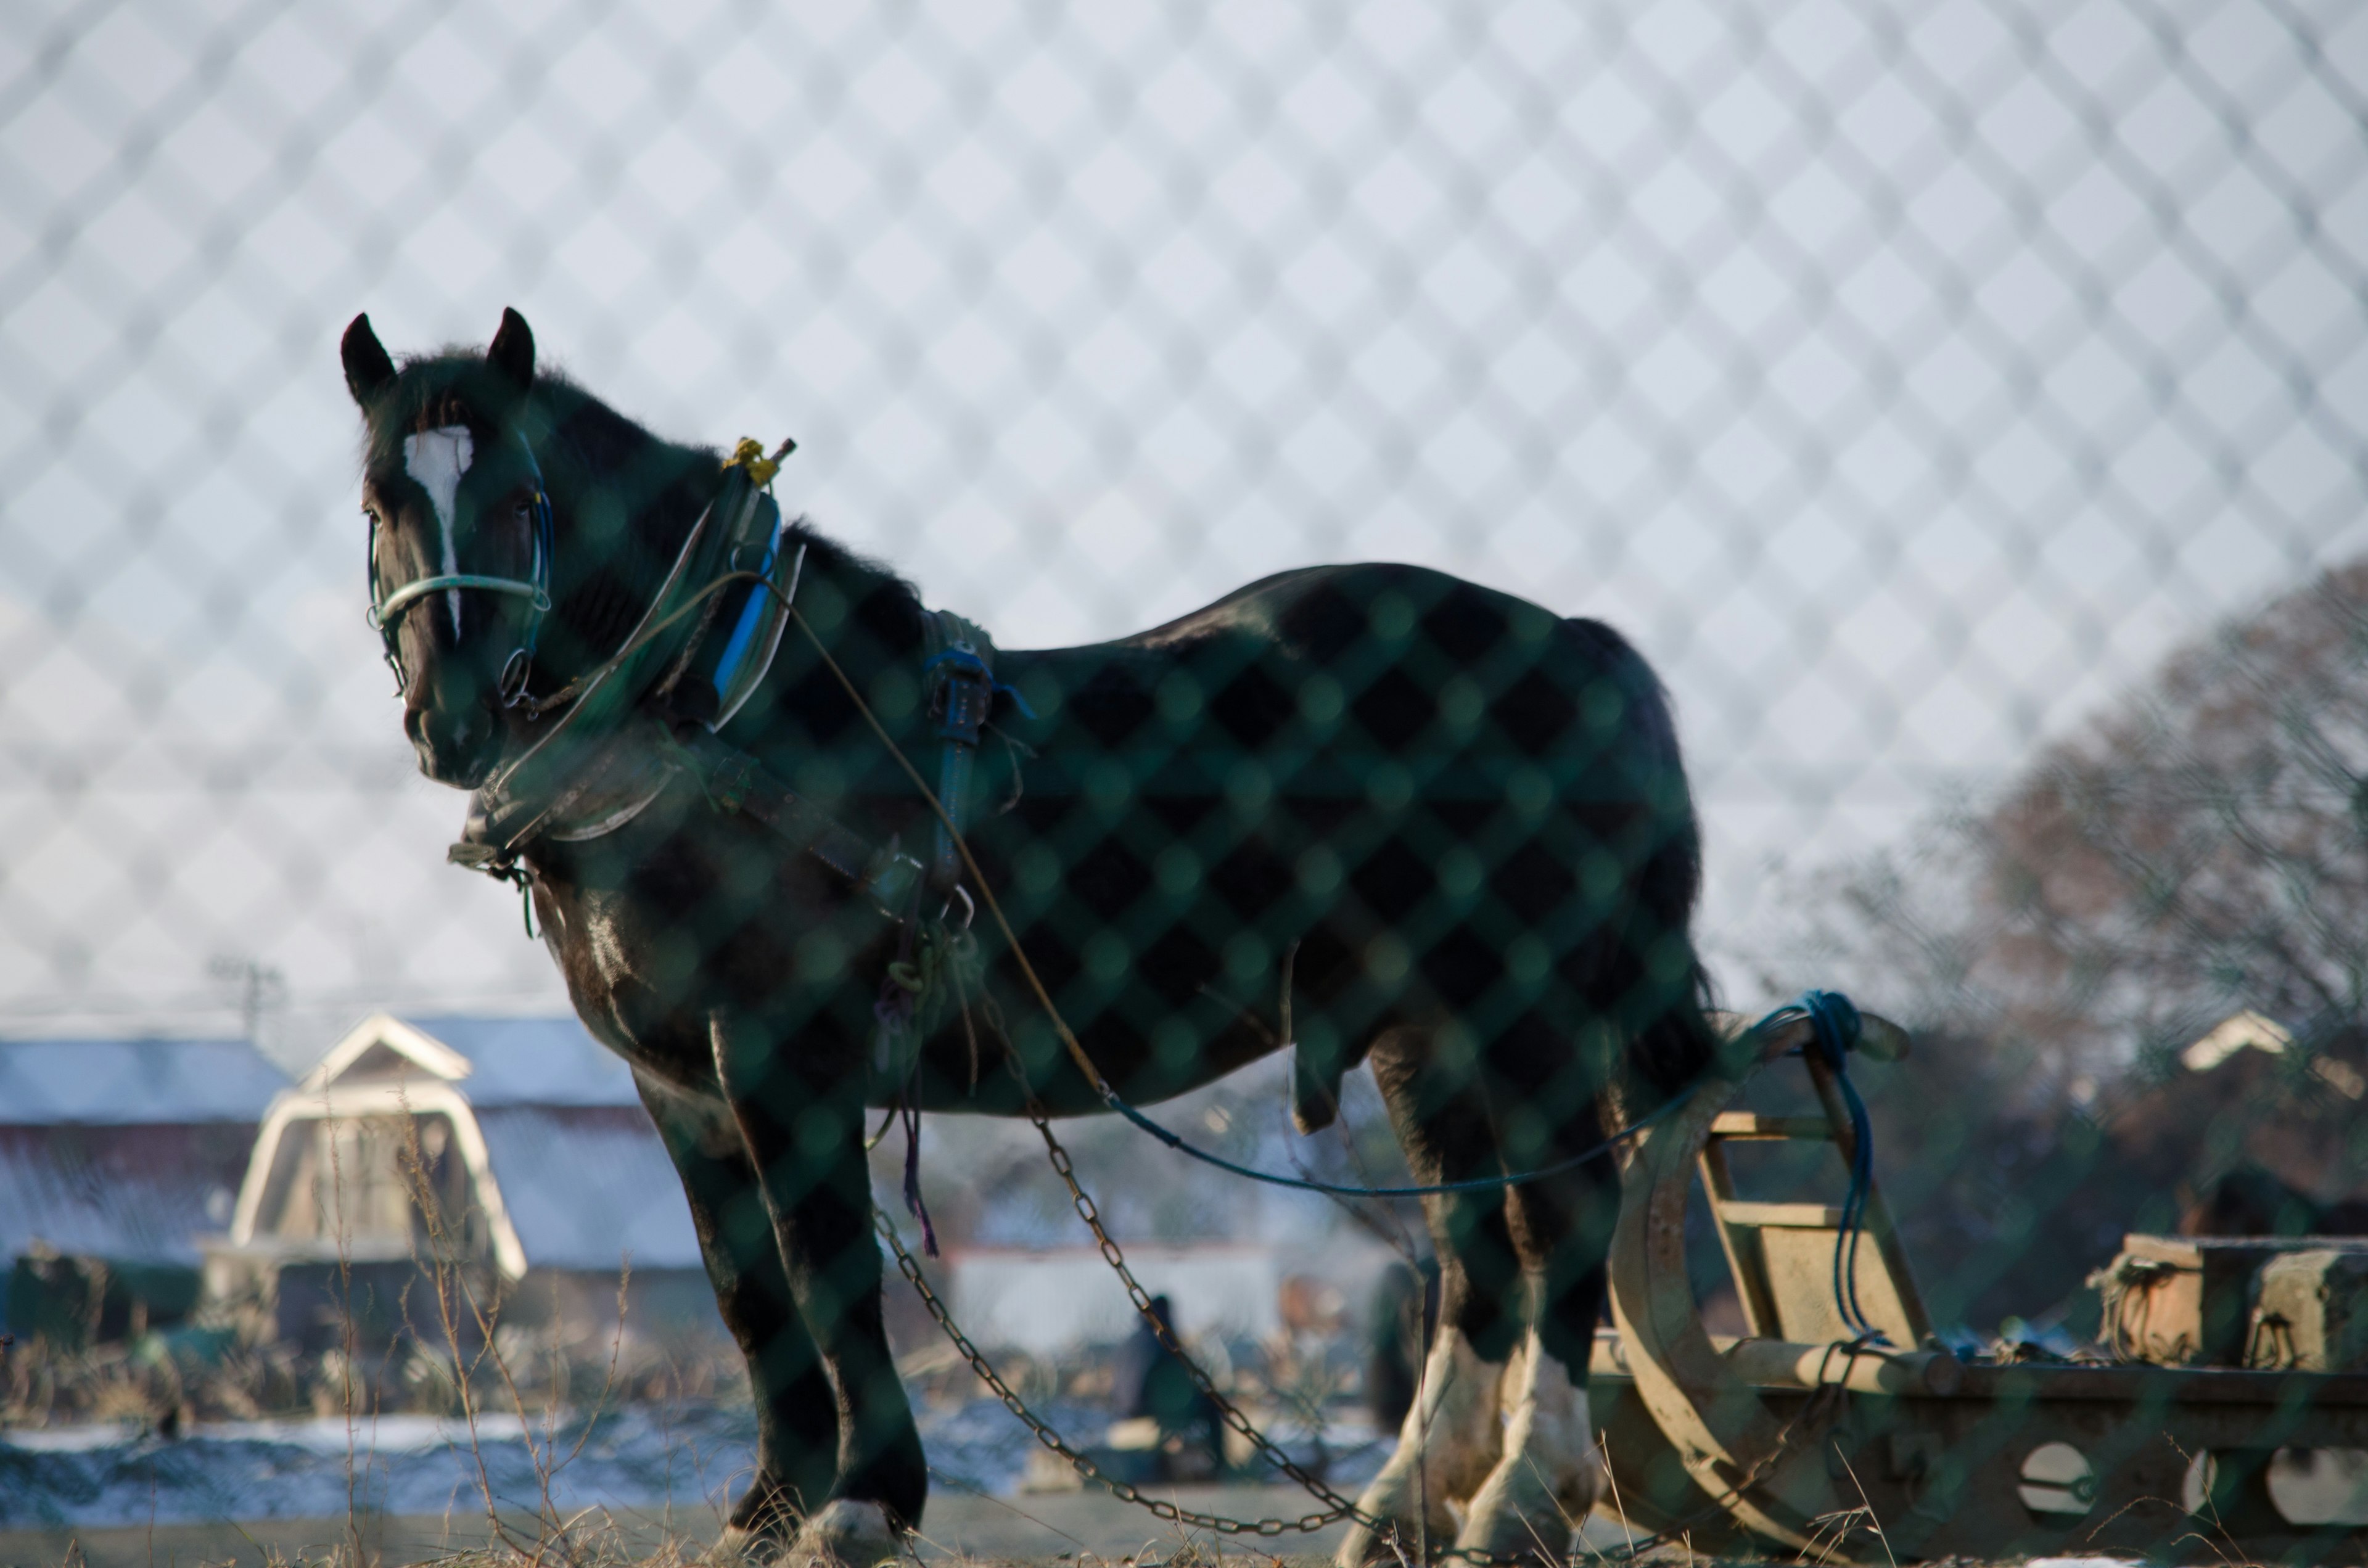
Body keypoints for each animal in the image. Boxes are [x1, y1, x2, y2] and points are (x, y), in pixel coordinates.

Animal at [339, 310, 1724, 1568]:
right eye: (379, 499)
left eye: (524, 495)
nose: (452, 719)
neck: (717, 709)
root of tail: (1575, 642)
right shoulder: (679, 1084)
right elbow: (747, 1292)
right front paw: (767, 1510)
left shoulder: (785, 1050)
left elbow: (826, 1264)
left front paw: (864, 1501)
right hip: (1423, 1028)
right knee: (1473, 1250)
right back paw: (1406, 1510)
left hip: (1526, 1012)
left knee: (1559, 1225)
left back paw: (1524, 1498)